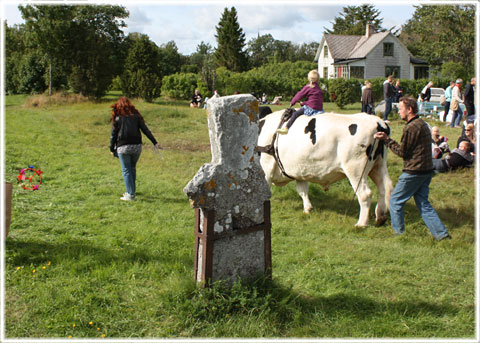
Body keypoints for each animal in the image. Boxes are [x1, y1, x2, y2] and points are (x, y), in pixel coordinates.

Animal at [258, 111, 394, 228]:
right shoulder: (299, 170)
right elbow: (302, 190)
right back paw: (380, 216)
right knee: (385, 187)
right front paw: (307, 209)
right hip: (378, 165)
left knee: (365, 194)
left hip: (356, 169)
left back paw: (361, 224)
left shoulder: (265, 170)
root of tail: (378, 122)